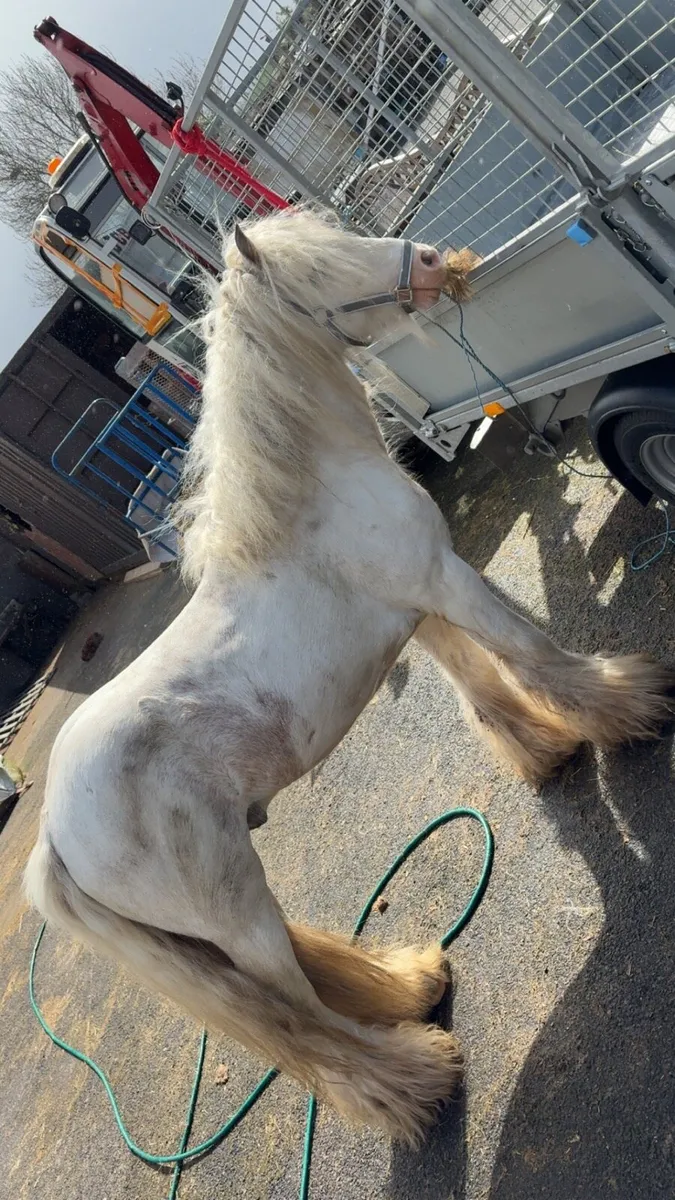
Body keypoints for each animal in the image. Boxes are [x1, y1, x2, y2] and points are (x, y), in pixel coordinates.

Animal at [26, 208, 673, 1143]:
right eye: (320, 274)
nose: (435, 261)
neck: (312, 499)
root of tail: (54, 838)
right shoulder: (446, 578)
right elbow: (530, 650)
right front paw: (631, 704)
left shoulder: (421, 602)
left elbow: (479, 682)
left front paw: (547, 751)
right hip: (238, 918)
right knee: (305, 1026)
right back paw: (414, 1079)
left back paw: (411, 985)